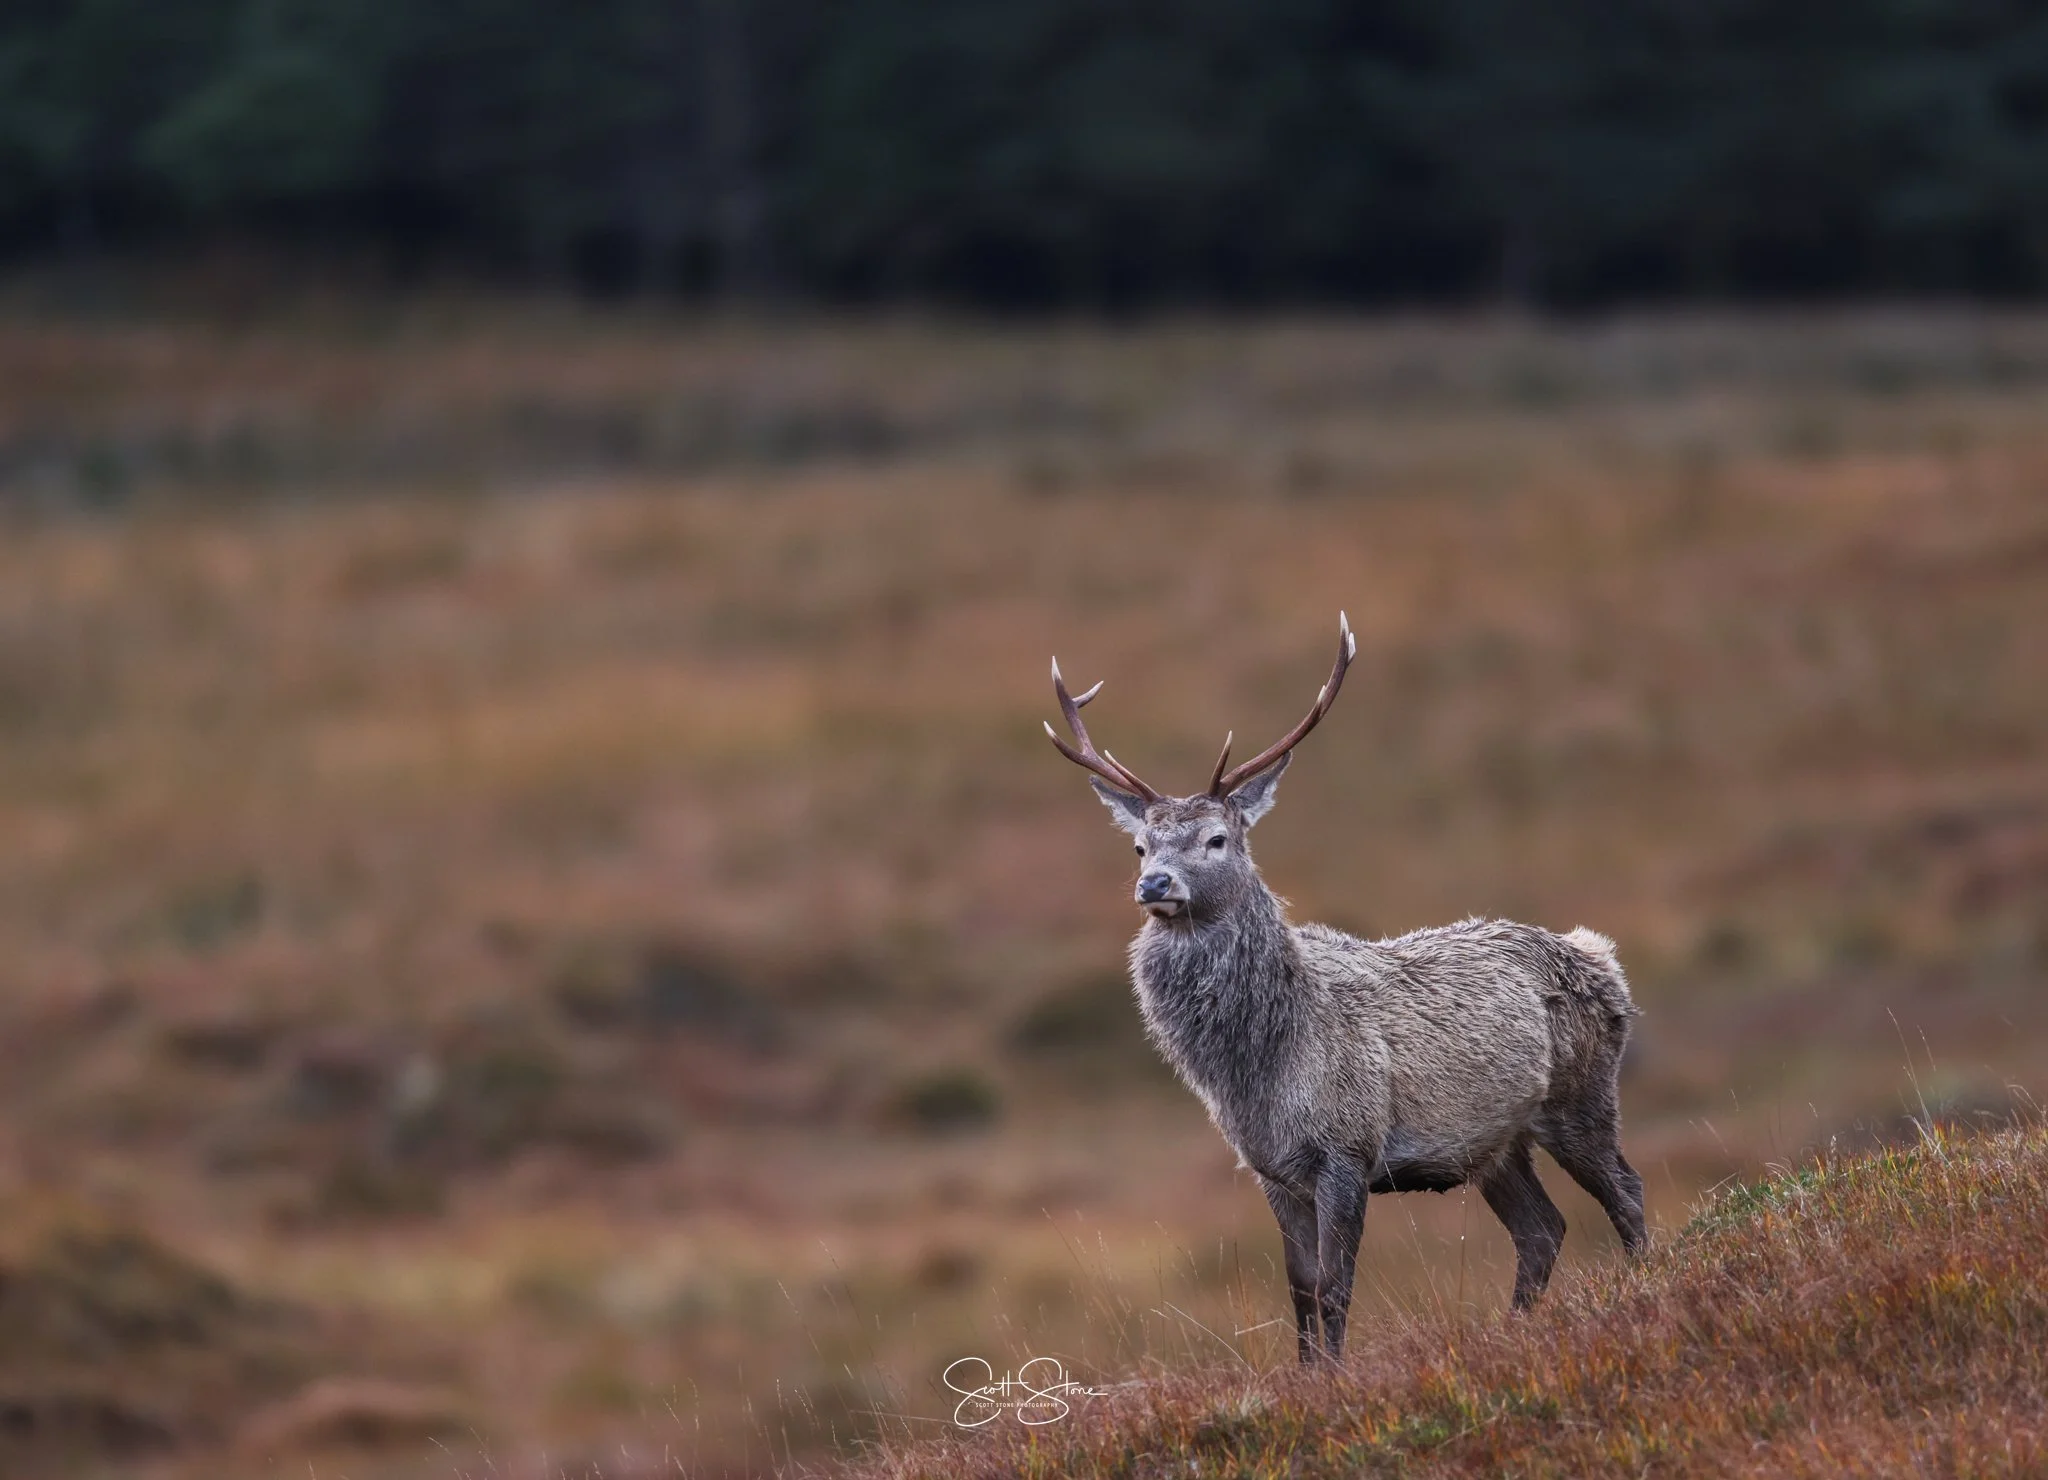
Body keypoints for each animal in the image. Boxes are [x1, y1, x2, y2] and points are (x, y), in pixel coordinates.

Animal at [1045, 614, 1646, 1362]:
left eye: (1216, 839)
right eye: (1139, 847)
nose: (1154, 885)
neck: (1260, 1068)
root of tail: (1602, 960)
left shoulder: (1347, 1151)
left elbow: (1334, 1287)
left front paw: (1338, 1375)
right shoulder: (1273, 1169)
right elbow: (1300, 1292)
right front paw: (1308, 1376)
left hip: (1579, 1097)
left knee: (1625, 1191)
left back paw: (1644, 1287)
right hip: (1494, 1143)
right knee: (1543, 1228)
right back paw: (1511, 1332)